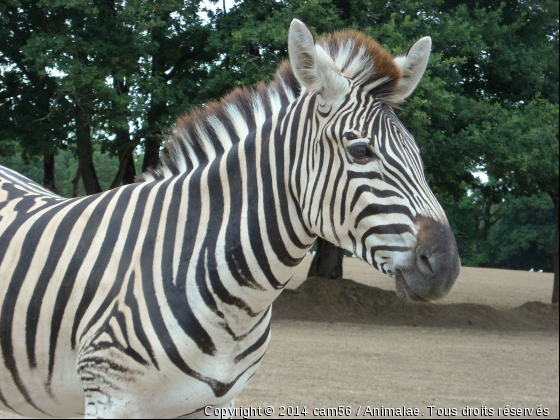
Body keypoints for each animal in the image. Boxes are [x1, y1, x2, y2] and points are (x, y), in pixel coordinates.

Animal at [0, 19, 460, 420]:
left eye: (418, 155)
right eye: (361, 151)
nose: (446, 268)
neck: (236, 306)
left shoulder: (215, 403)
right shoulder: (111, 398)